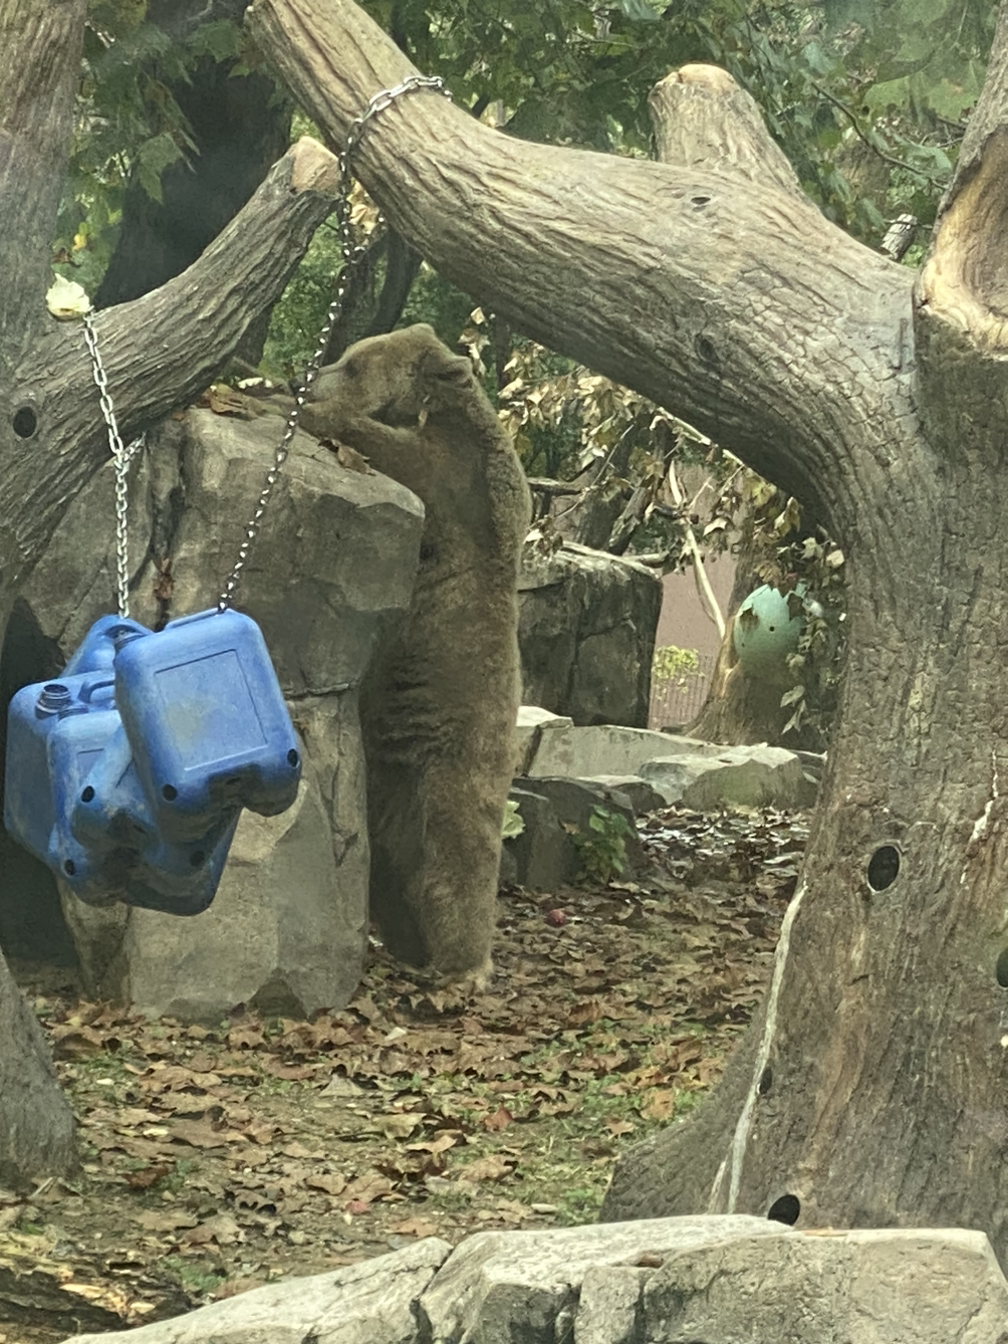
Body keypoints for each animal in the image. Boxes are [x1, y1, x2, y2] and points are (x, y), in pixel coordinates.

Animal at [298, 324, 531, 985]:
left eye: (353, 365)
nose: (314, 371)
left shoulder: (454, 480)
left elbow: (398, 454)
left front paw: (309, 407)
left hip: (452, 765)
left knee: (457, 861)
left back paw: (461, 964)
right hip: (389, 785)